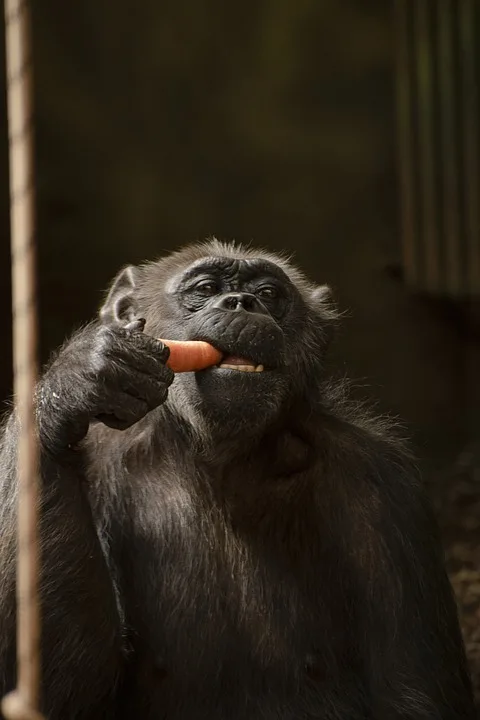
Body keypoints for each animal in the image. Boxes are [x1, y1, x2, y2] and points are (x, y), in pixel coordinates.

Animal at [0, 239, 474, 716]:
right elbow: (68, 685)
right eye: (206, 288)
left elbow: (410, 689)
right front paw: (77, 380)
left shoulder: (385, 487)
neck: (218, 459)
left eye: (268, 294)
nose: (242, 302)